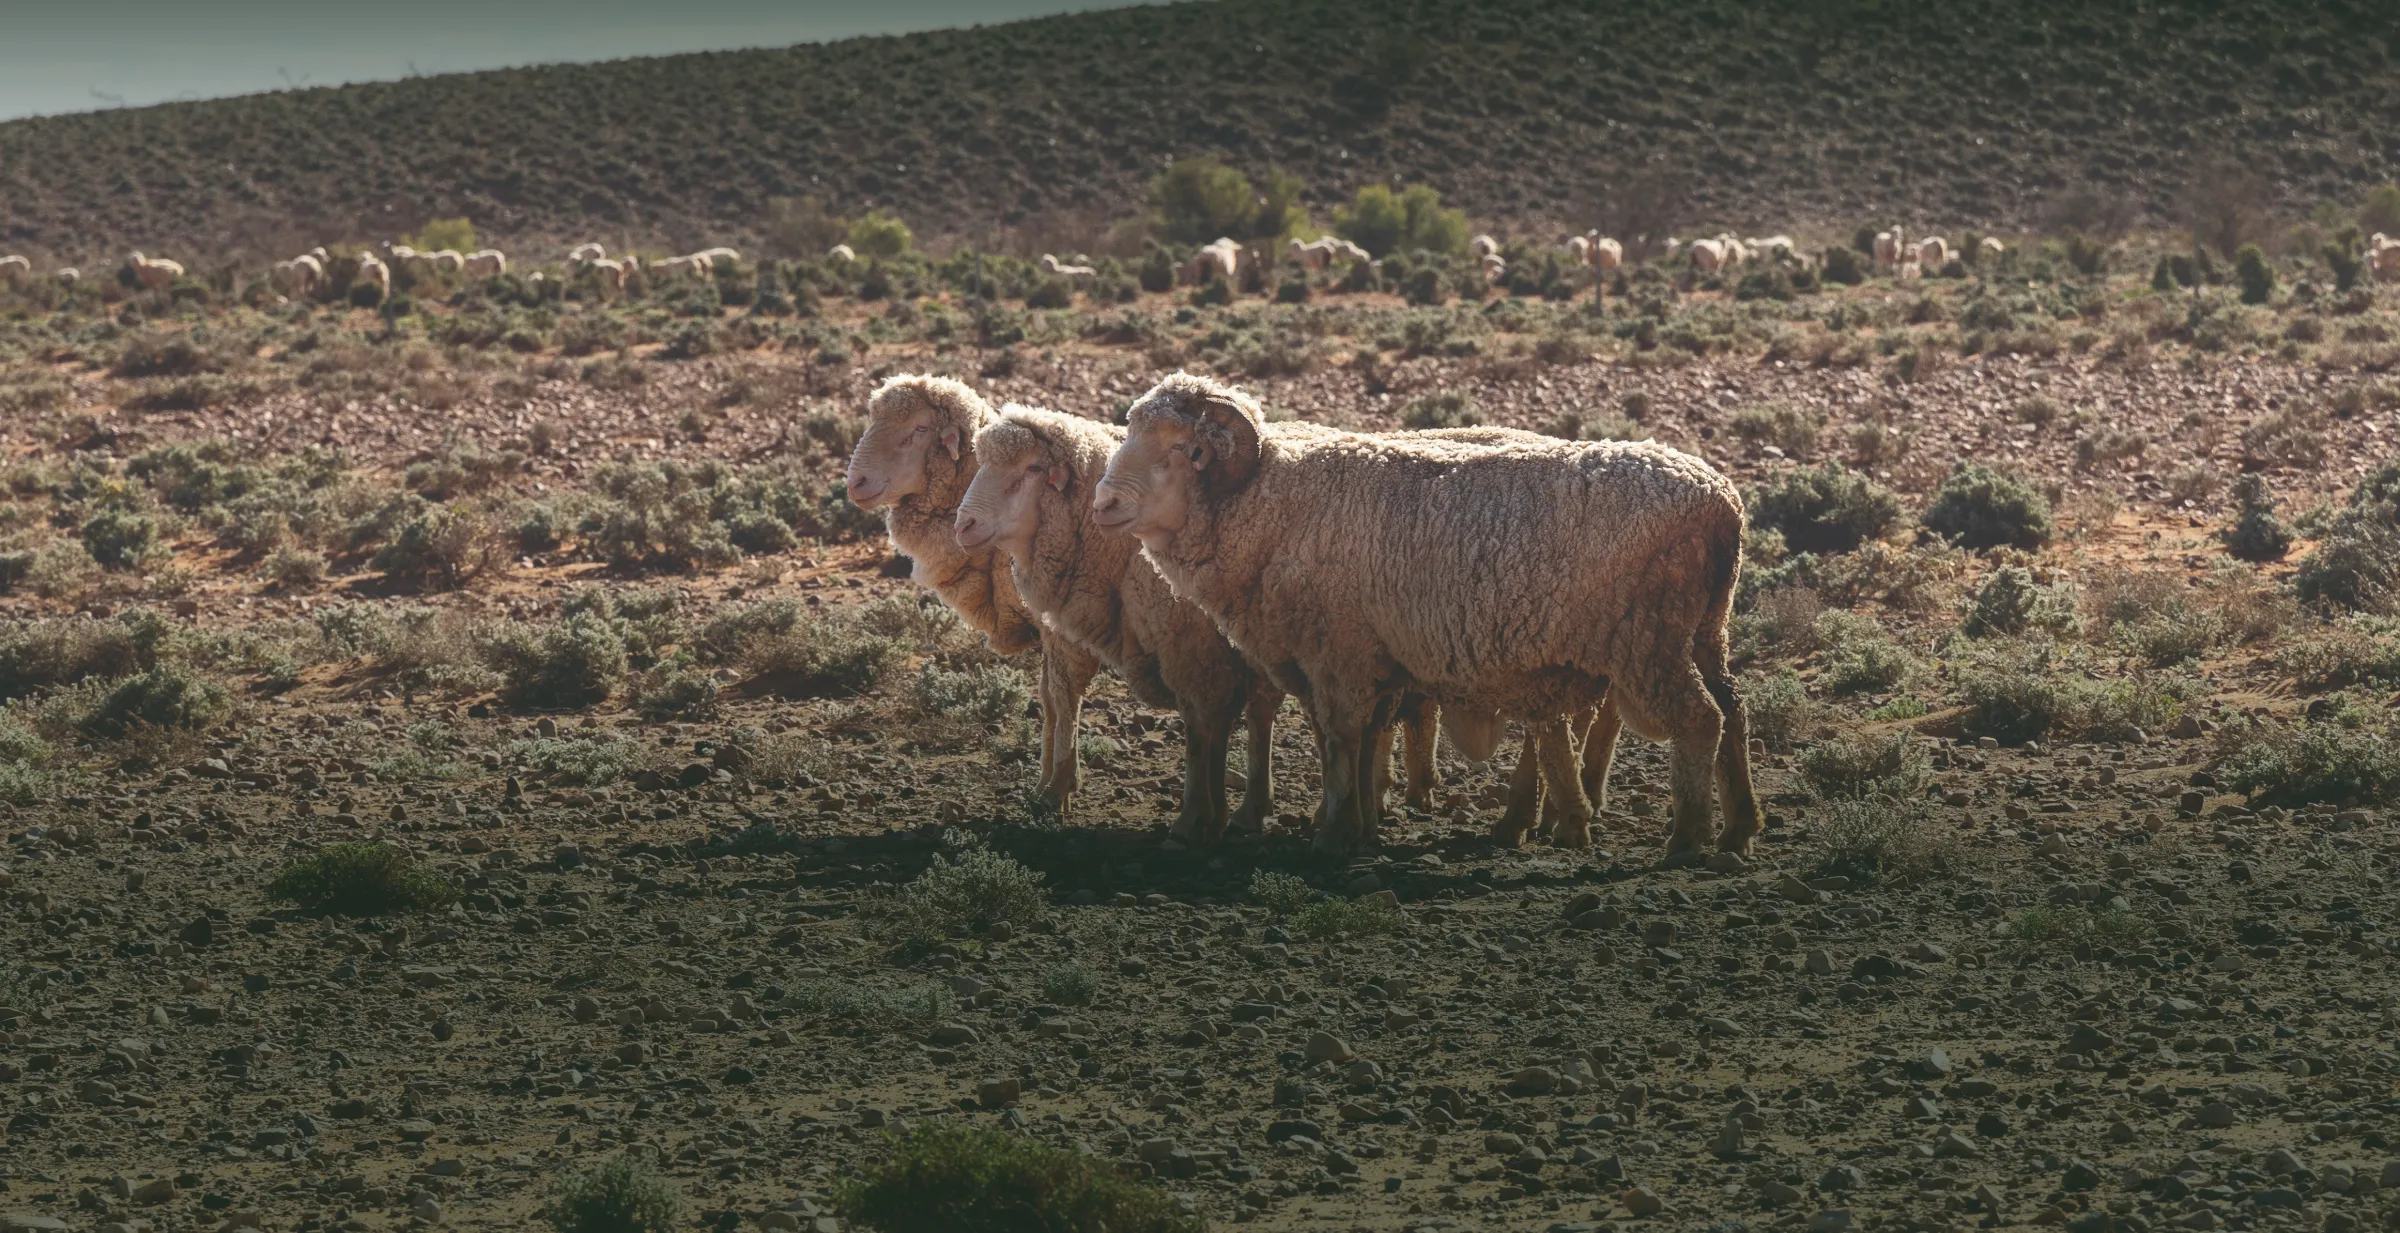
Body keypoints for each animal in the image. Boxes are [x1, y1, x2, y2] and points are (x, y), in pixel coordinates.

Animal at [844, 375, 1097, 810]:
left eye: (921, 429)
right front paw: (1044, 784)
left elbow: (1063, 699)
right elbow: (1048, 699)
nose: (855, 482)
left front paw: (1058, 791)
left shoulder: (1061, 627)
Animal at [957, 406, 1281, 843]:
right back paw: (1253, 807)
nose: (963, 526)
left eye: (1033, 468)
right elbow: (1058, 696)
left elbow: (1198, 721)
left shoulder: (1188, 642)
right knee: (1262, 707)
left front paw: (1194, 817)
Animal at [1093, 372, 1760, 860]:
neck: (1271, 504)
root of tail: (1723, 503)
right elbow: (1359, 740)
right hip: (1706, 628)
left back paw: (1686, 840)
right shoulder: (1359, 659)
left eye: (1185, 449)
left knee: (1699, 718)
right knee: (1733, 708)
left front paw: (1334, 834)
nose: (1102, 503)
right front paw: (1361, 826)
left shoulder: (1339, 652)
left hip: (1648, 638)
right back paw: (1739, 830)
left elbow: (1341, 737)